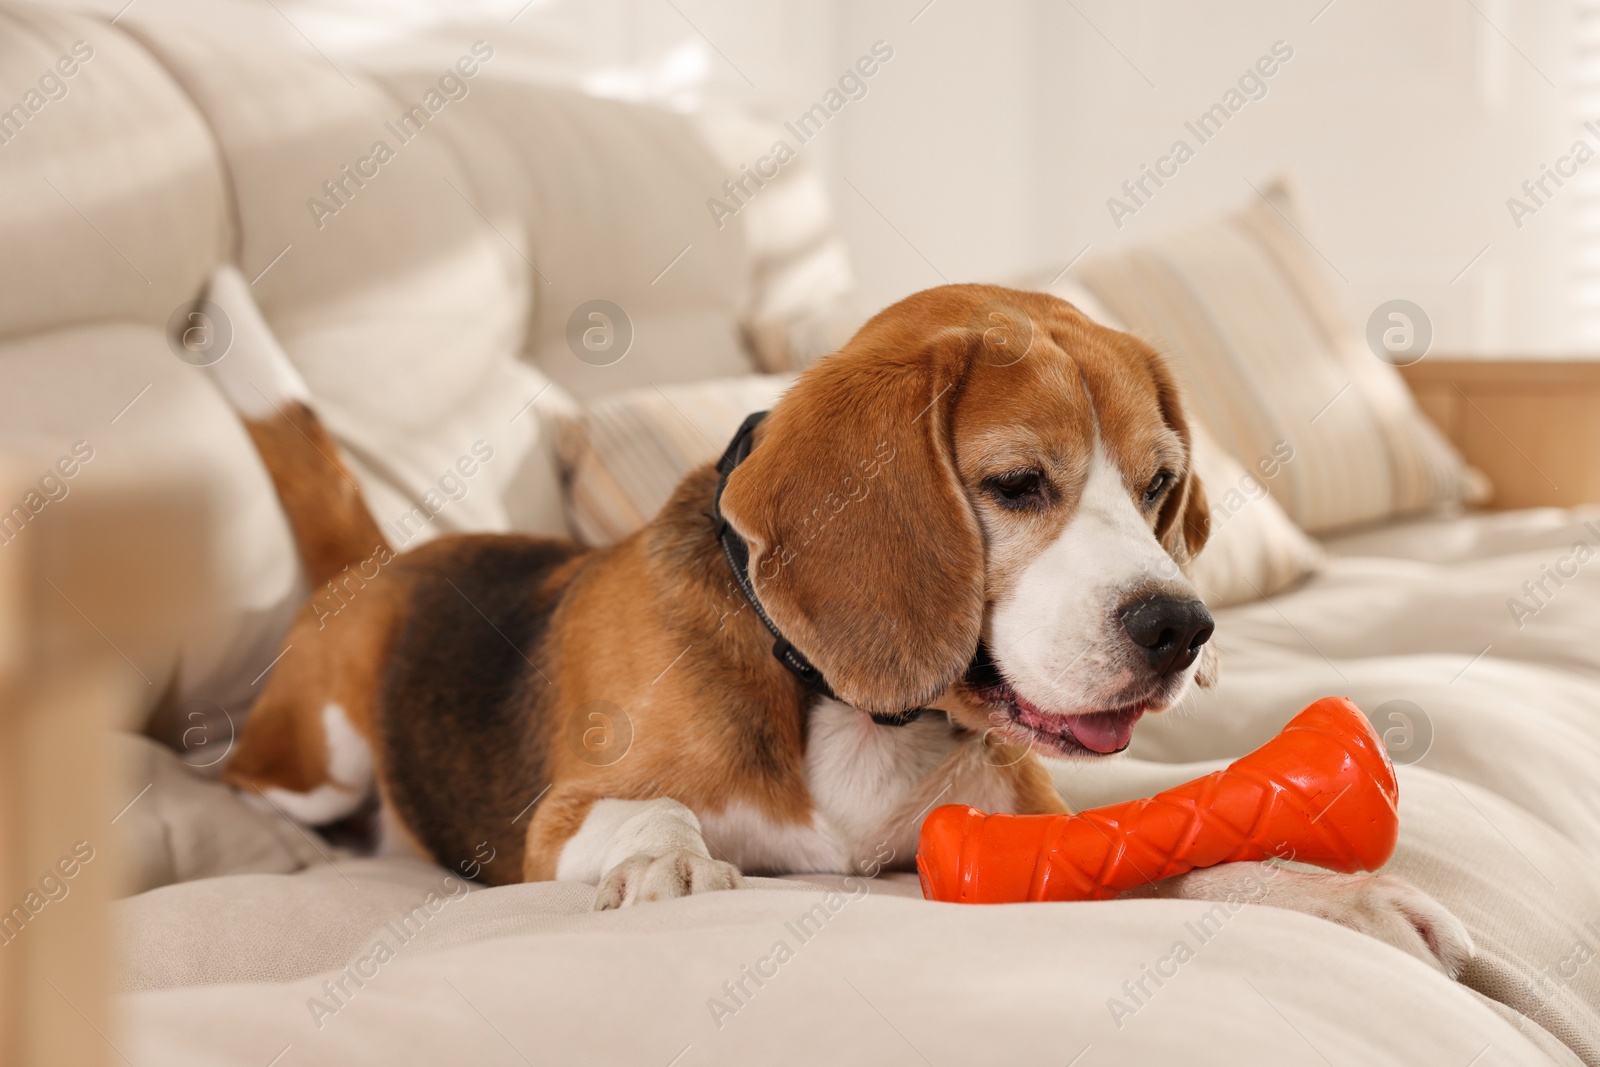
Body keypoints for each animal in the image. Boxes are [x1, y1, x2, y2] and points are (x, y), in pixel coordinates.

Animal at [216, 281, 1472, 979]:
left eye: (1161, 482)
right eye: (1017, 483)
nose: (1181, 626)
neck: (857, 706)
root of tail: (386, 558)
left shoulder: (1016, 835)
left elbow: (1170, 848)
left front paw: (1342, 898)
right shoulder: (558, 819)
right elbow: (651, 810)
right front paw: (667, 863)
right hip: (321, 752)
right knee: (249, 777)